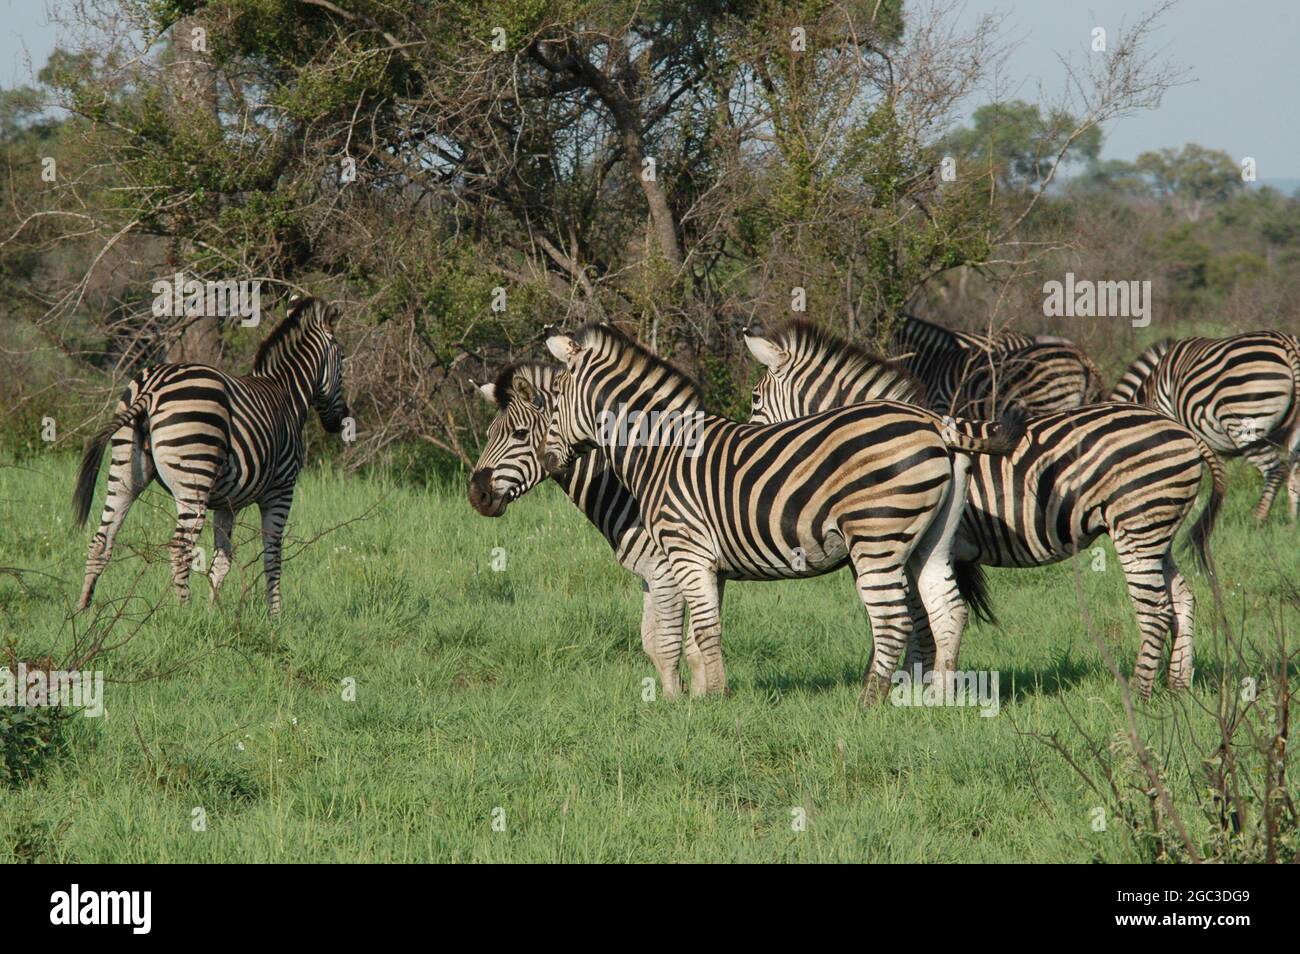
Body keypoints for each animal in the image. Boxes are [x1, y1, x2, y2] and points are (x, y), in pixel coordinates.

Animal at [73, 297, 350, 614]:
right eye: (342, 359)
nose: (342, 419)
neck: (287, 394)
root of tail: (153, 386)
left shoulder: (228, 504)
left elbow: (222, 560)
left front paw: (213, 610)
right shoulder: (281, 490)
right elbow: (272, 554)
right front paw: (275, 614)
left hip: (125, 469)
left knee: (102, 538)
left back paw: (83, 606)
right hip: (195, 476)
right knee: (179, 547)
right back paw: (183, 611)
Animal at [467, 361, 704, 698]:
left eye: (520, 434)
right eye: (488, 434)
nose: (476, 495)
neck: (625, 492)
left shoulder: (666, 571)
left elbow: (668, 642)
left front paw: (682, 700)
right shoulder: (649, 573)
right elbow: (651, 641)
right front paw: (682, 693)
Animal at [541, 322, 1024, 705]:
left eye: (554, 399)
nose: (548, 461)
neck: (661, 451)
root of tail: (936, 424)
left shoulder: (687, 552)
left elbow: (704, 631)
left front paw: (715, 700)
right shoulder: (710, 565)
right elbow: (701, 634)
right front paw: (703, 698)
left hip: (876, 539)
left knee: (892, 620)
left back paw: (867, 705)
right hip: (931, 541)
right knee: (948, 612)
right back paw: (937, 700)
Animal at [1109, 332, 1300, 523]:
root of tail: (1286, 343)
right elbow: (1219, 475)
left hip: (1245, 424)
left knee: (1275, 470)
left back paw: (1258, 519)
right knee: (1294, 474)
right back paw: (1292, 522)